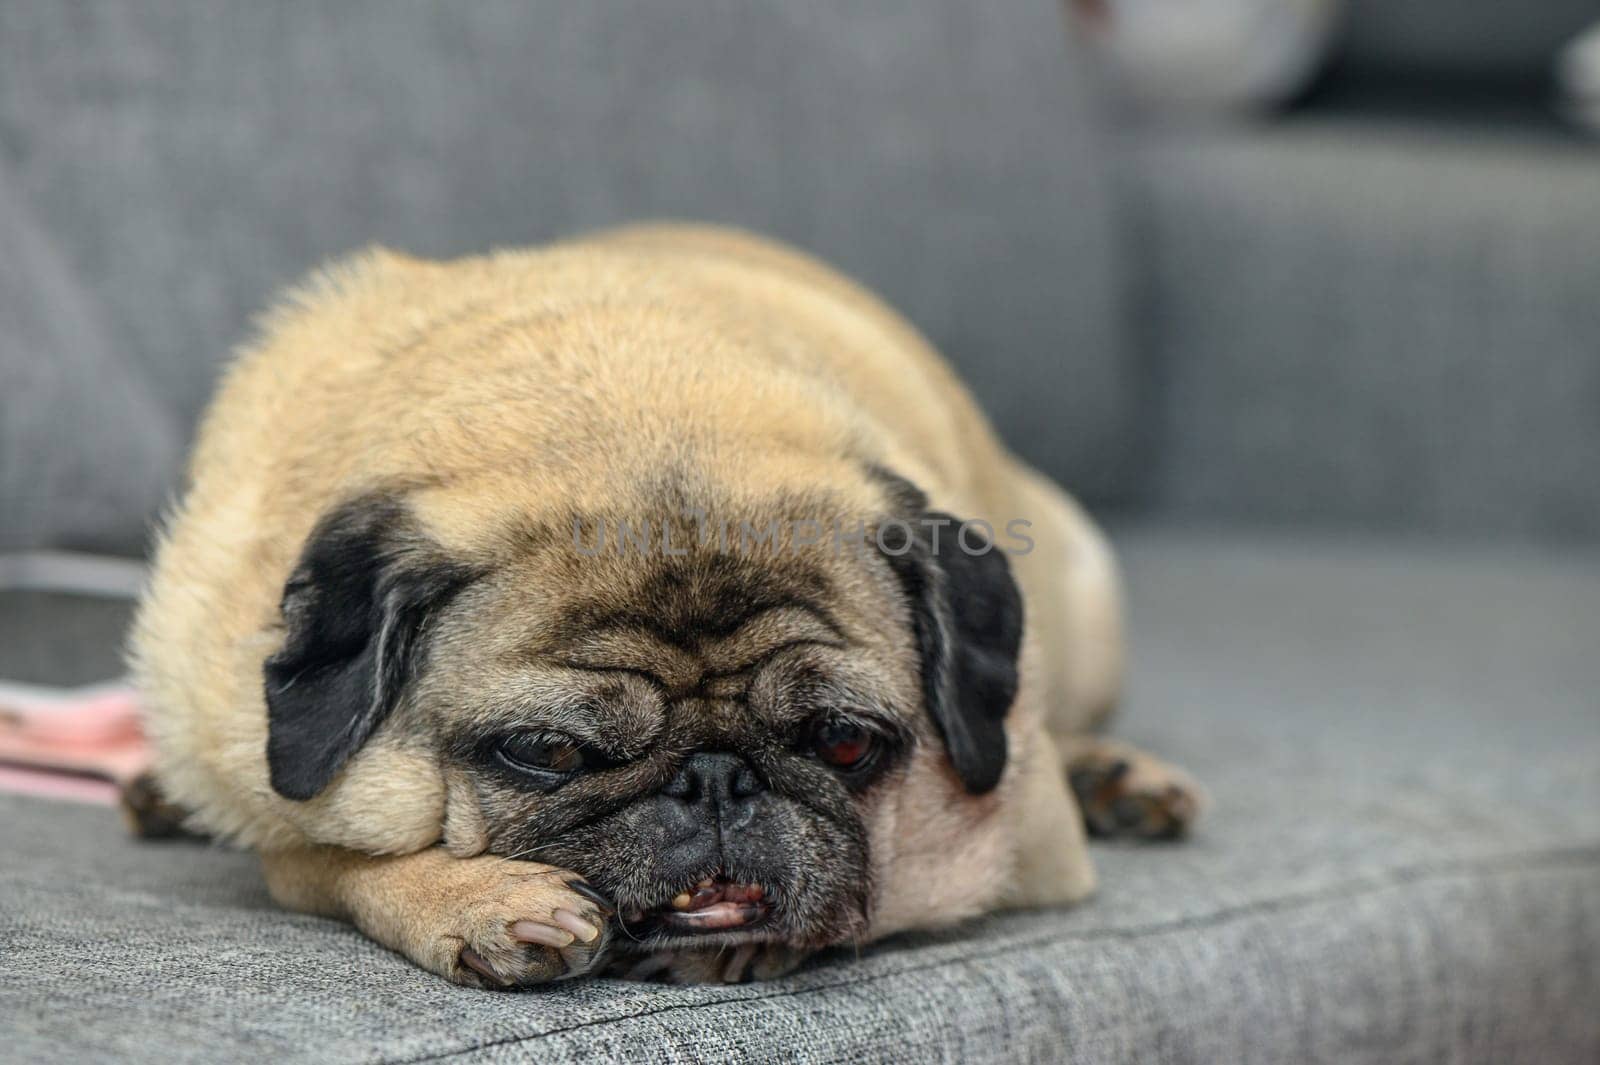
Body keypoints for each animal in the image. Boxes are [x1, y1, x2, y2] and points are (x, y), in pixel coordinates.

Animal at [128, 223, 1203, 985]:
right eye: (548, 750)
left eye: (843, 742)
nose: (716, 778)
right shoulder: (257, 798)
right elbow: (326, 858)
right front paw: (472, 899)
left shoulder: (1018, 850)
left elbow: (872, 892)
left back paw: (1118, 774)